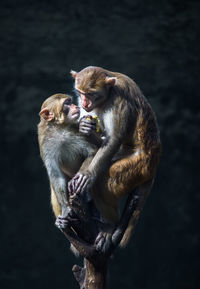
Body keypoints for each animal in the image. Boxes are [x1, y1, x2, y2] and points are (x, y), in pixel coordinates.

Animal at [68, 65, 161, 248]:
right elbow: (99, 141)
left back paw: (110, 226)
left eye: (91, 94)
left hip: (140, 165)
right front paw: (85, 126)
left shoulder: (119, 99)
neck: (108, 95)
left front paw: (87, 175)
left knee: (102, 183)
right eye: (80, 93)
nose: (84, 103)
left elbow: (113, 140)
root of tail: (154, 163)